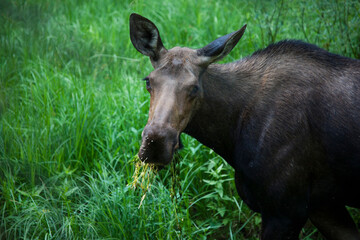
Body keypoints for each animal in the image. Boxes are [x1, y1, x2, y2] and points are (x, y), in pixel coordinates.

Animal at [129, 13, 360, 240]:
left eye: (194, 87)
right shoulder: (323, 205)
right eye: (148, 81)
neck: (231, 135)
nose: (155, 143)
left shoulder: (286, 210)